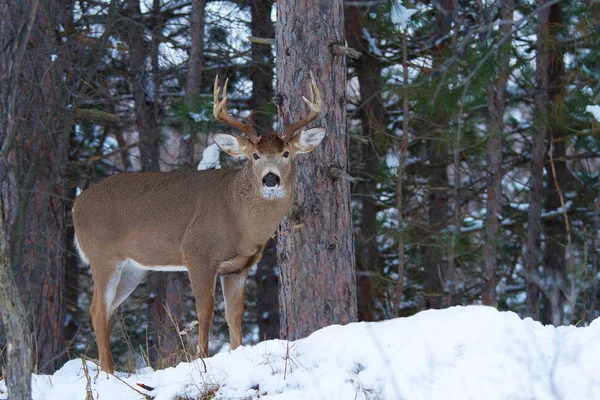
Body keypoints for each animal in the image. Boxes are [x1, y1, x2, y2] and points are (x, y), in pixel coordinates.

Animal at [72, 72, 326, 372]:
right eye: (255, 155)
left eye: (286, 153)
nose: (271, 178)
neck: (240, 220)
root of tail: (76, 205)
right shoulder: (197, 253)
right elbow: (205, 311)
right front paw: (202, 360)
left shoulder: (240, 266)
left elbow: (235, 316)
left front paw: (236, 354)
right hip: (102, 257)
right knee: (97, 310)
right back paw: (110, 373)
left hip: (134, 268)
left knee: (109, 309)